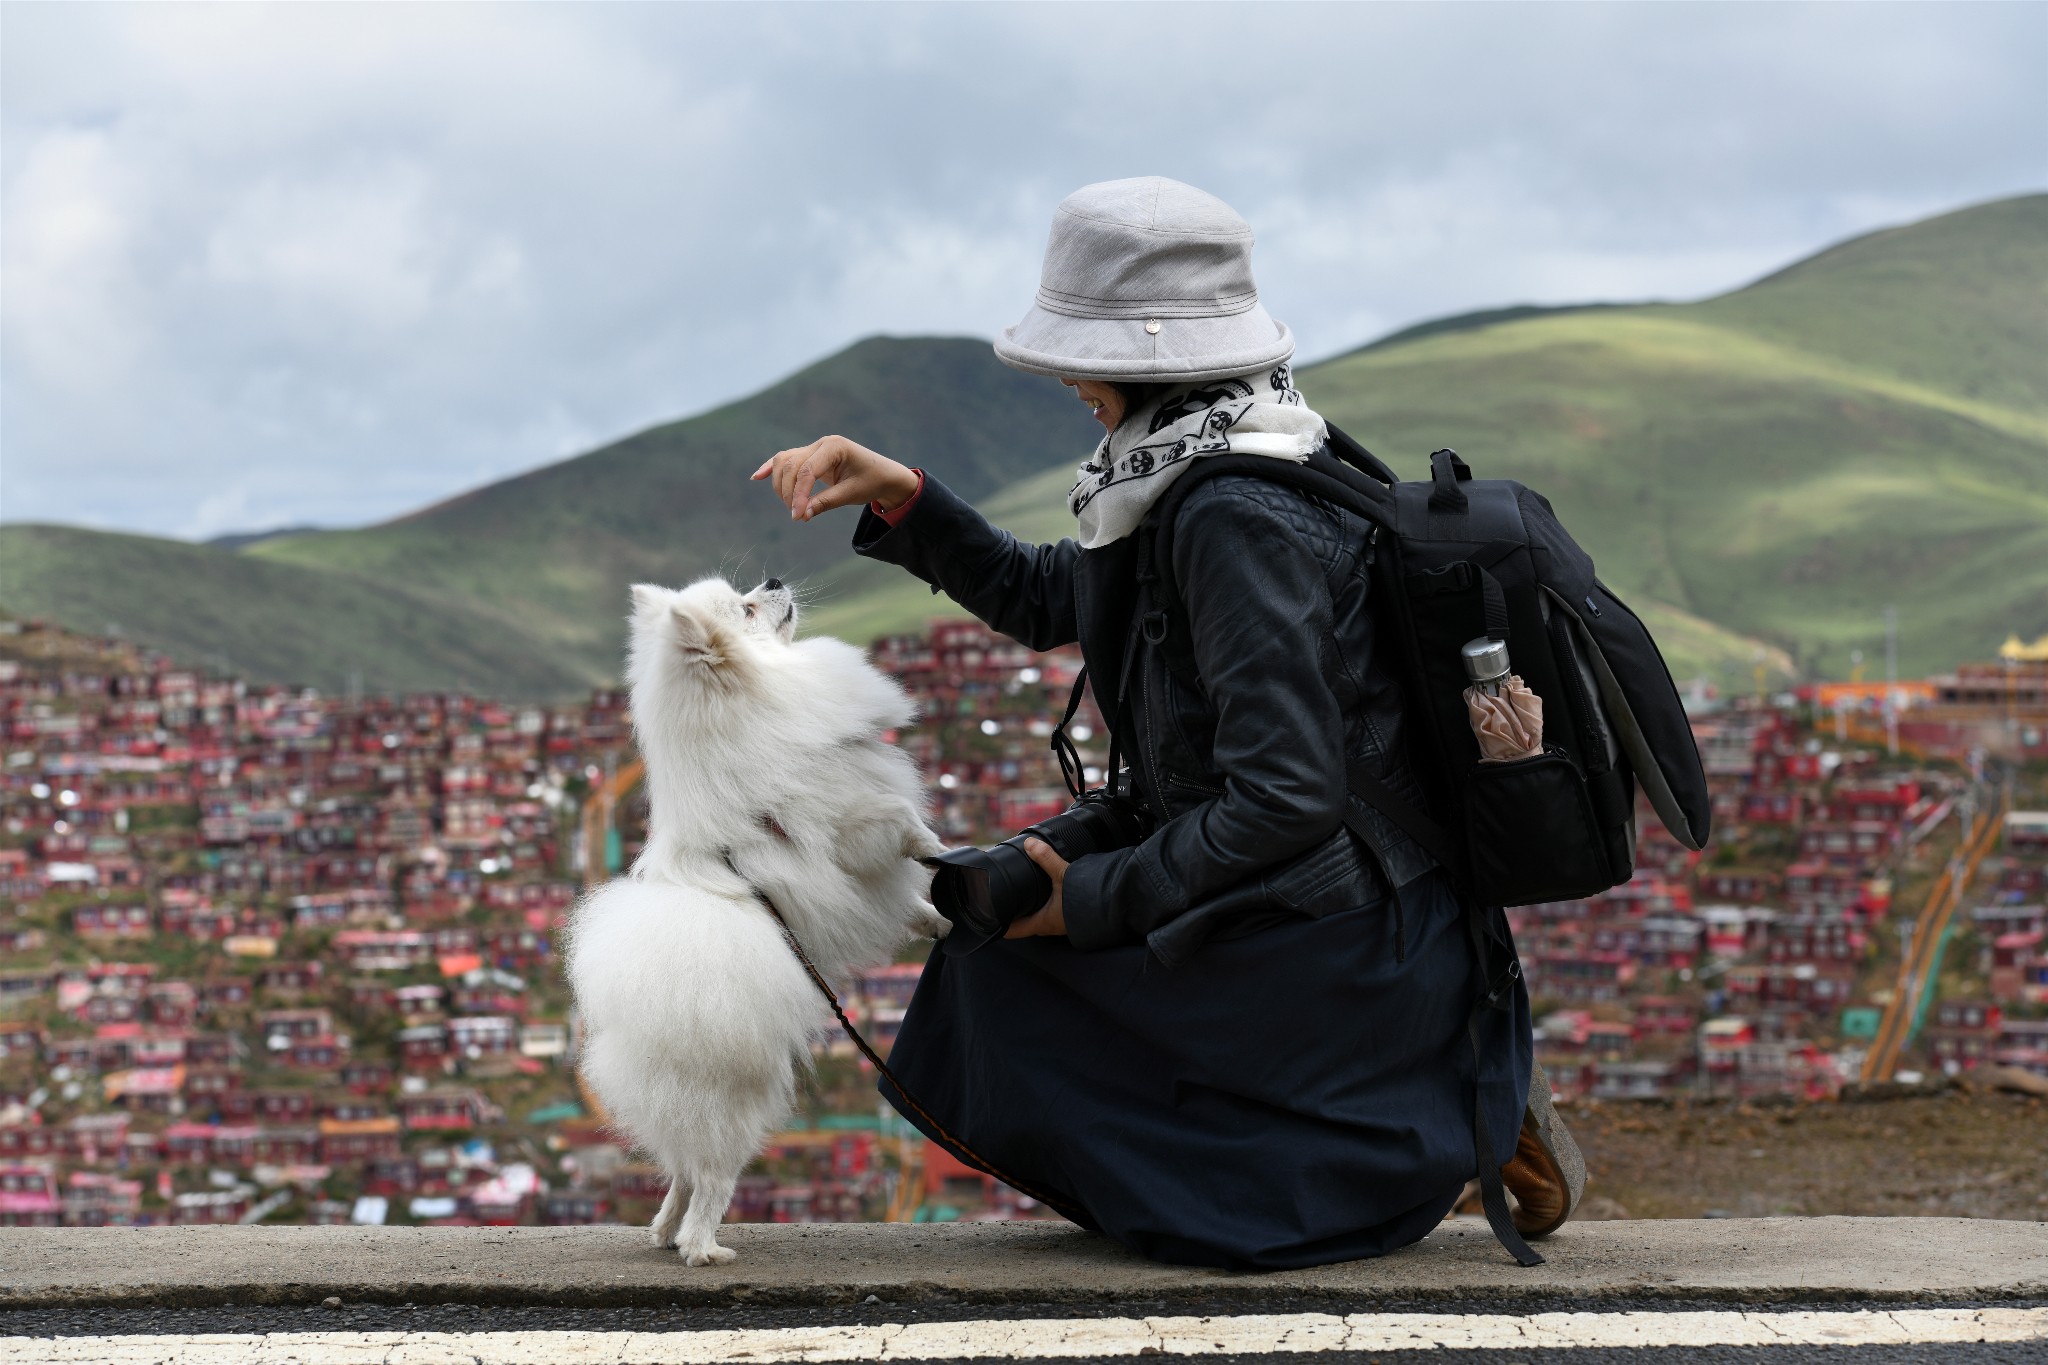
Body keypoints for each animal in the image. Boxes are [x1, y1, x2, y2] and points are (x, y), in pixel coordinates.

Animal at [565, 573, 937, 1268]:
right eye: (745, 608)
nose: (772, 580)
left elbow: (908, 898)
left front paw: (938, 920)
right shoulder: (856, 825)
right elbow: (908, 827)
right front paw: (948, 854)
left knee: (682, 1172)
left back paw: (663, 1231)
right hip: (738, 1106)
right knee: (711, 1179)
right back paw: (703, 1249)